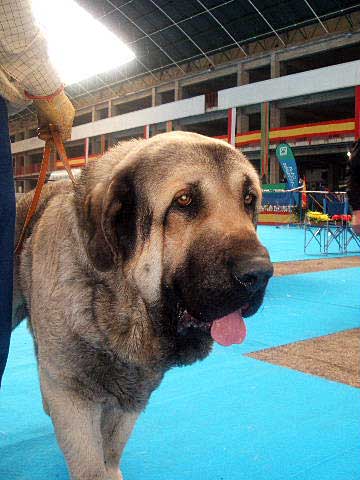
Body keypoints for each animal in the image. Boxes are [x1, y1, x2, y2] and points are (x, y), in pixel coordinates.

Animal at [11, 132, 272, 480]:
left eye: (248, 199)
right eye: (184, 201)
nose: (259, 274)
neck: (120, 306)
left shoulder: (132, 398)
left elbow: (110, 451)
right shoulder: (73, 396)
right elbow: (90, 463)